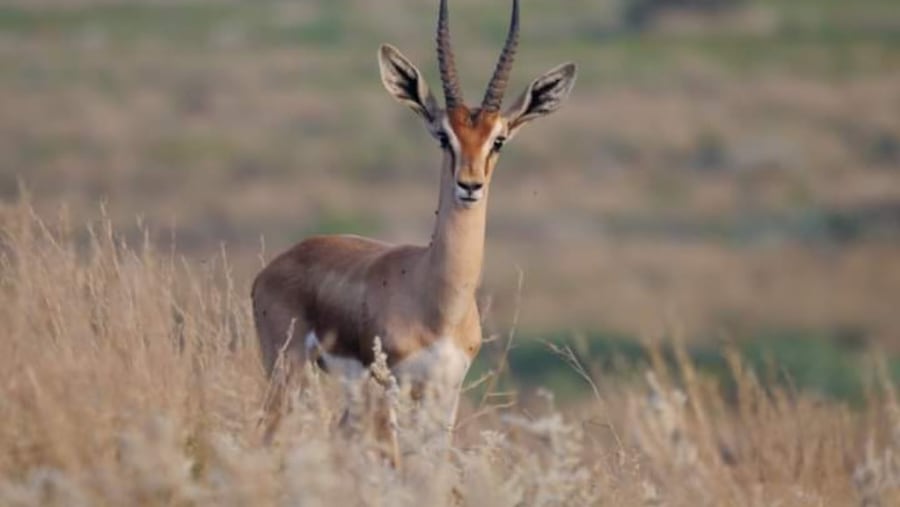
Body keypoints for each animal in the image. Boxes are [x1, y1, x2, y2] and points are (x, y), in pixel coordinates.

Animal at [251, 0, 576, 453]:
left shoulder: (444, 392)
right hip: (289, 372)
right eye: (443, 136)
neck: (437, 302)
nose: (470, 185)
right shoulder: (391, 385)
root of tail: (277, 264)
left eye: (498, 139)